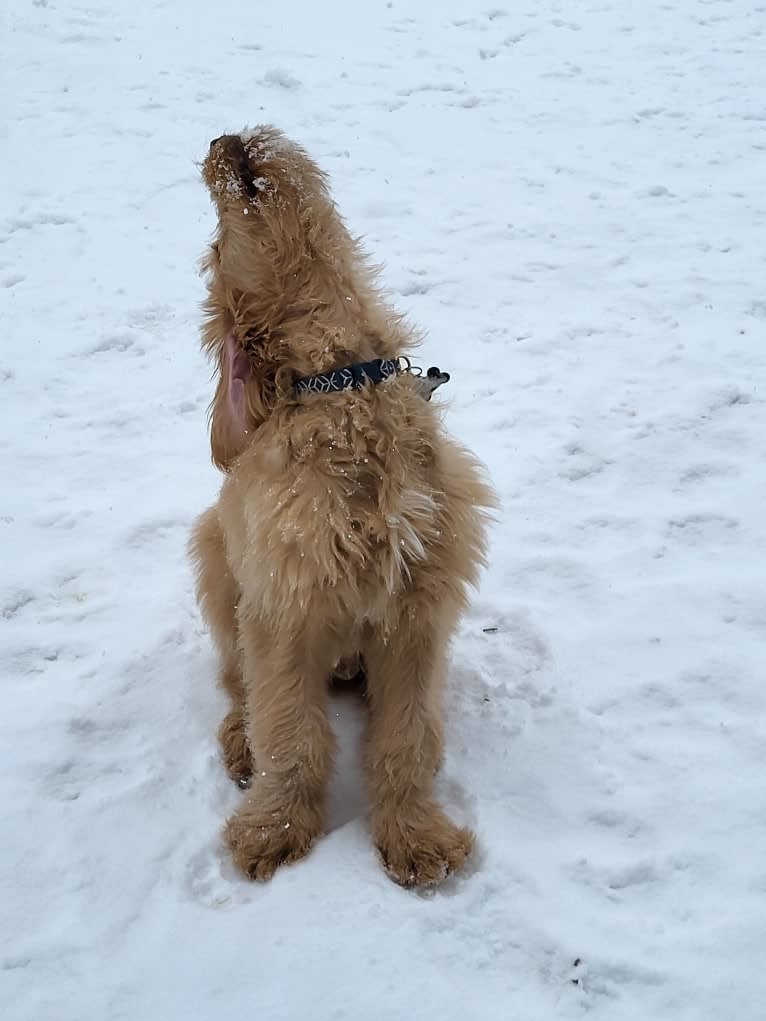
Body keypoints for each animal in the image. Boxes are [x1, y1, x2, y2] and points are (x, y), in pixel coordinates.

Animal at [188, 123, 494, 882]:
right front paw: (275, 828)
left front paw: (416, 834)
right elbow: (290, 734)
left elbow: (407, 735)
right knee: (236, 681)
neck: (344, 382)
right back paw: (240, 739)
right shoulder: (282, 607)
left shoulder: (418, 608)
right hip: (211, 554)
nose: (224, 138)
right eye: (214, 249)